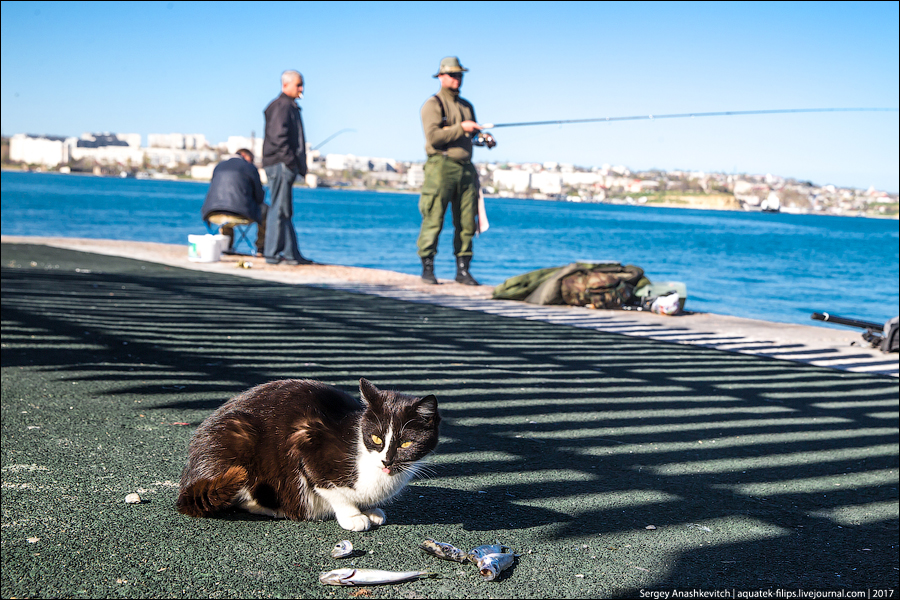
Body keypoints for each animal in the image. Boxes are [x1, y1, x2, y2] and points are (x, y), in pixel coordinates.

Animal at [176, 378, 440, 532]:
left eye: (406, 443)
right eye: (376, 439)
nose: (387, 460)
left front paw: (370, 509)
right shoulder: (308, 442)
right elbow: (331, 489)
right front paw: (353, 515)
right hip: (237, 443)